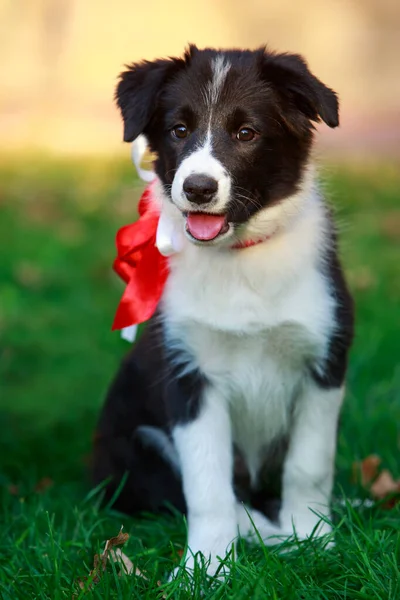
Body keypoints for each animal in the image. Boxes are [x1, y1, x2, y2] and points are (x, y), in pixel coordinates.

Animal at [93, 44, 354, 576]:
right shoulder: (190, 377)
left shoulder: (325, 362)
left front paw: (313, 537)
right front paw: (206, 567)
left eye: (246, 132)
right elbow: (208, 485)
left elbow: (309, 464)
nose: (197, 188)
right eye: (179, 129)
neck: (240, 258)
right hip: (133, 454)